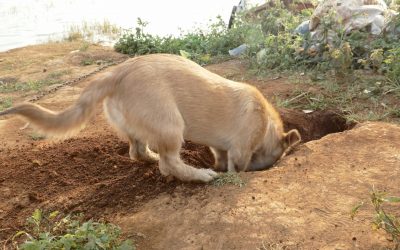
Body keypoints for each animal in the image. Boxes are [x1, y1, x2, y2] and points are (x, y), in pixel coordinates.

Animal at [0, 54, 300, 183]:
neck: (267, 123)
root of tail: (116, 74)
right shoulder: (241, 149)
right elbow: (235, 167)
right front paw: (226, 174)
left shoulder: (222, 148)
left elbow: (221, 156)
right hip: (171, 126)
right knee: (169, 164)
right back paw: (200, 176)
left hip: (139, 129)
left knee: (138, 152)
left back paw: (154, 159)